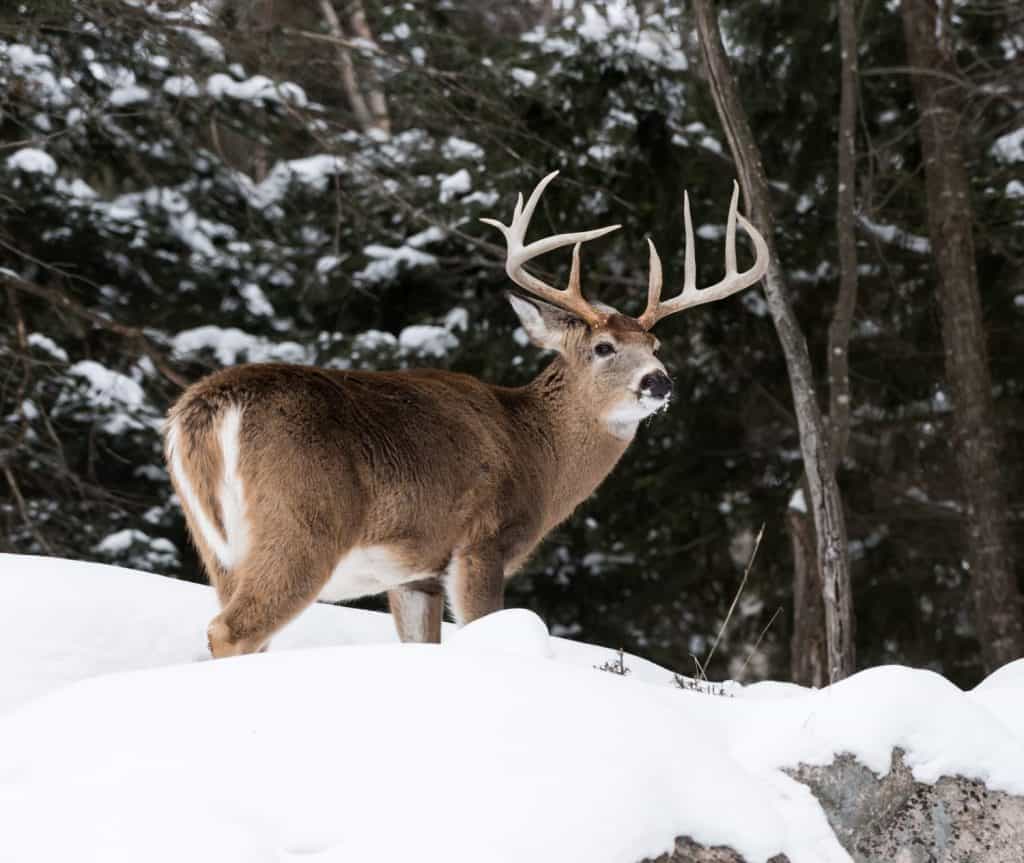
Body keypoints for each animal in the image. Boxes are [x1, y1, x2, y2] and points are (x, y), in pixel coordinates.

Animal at [164, 172, 769, 657]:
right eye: (604, 347)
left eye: (656, 344)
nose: (659, 382)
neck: (537, 449)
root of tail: (208, 407)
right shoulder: (482, 542)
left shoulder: (417, 574)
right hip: (302, 525)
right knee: (232, 630)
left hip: (218, 549)